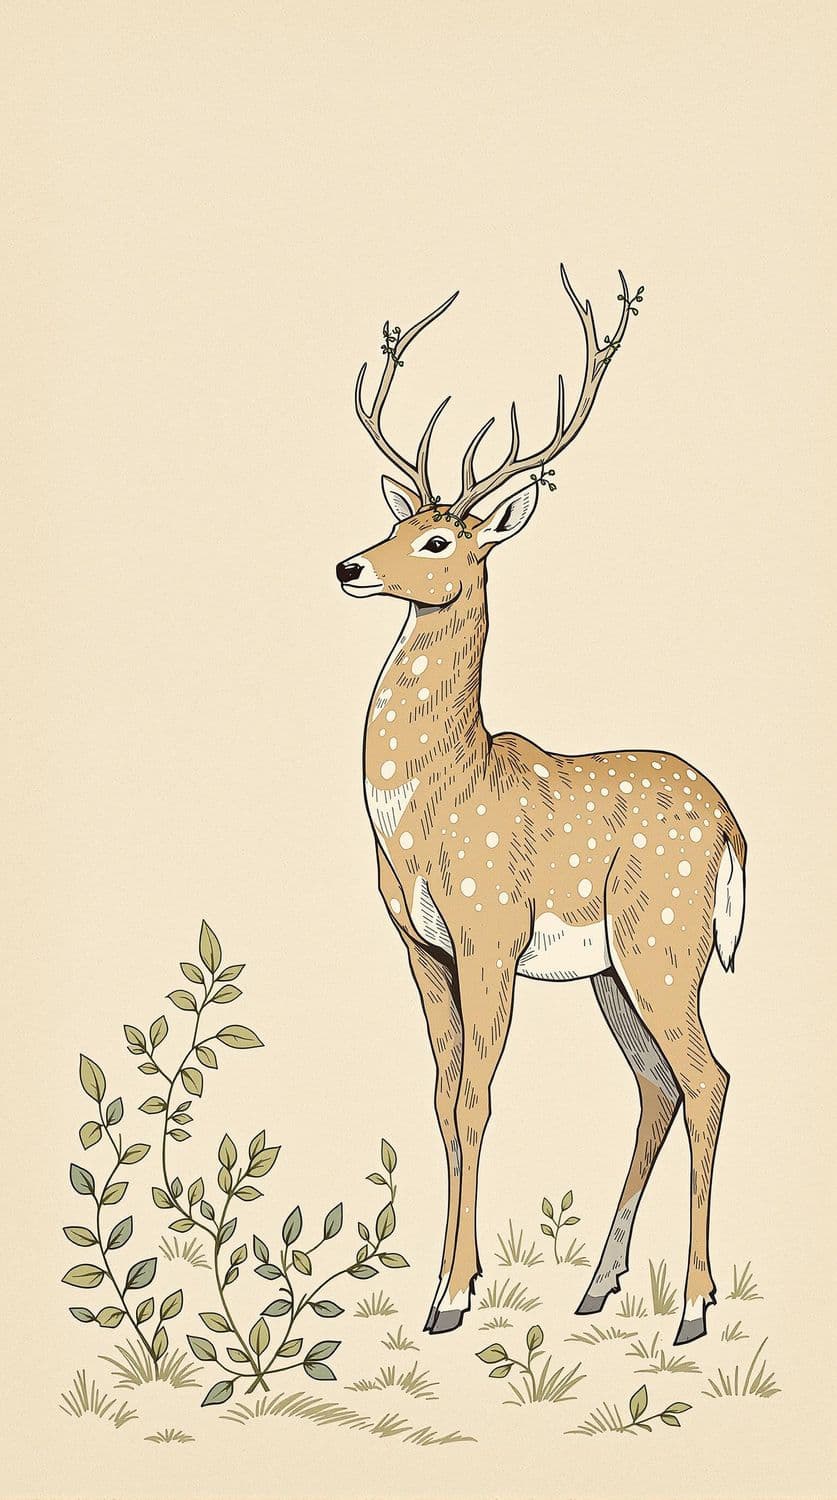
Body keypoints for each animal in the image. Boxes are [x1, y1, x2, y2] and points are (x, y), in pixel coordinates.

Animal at [336, 267, 746, 1346]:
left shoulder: (489, 931)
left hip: (665, 939)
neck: (429, 810)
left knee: (707, 1079)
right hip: (611, 968)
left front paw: (452, 1296)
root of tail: (732, 827)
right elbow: (442, 1102)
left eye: (439, 536)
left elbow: (478, 1099)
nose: (349, 565)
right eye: (393, 523)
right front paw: (442, 1284)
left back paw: (694, 1305)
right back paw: (597, 1286)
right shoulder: (421, 945)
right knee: (655, 1085)